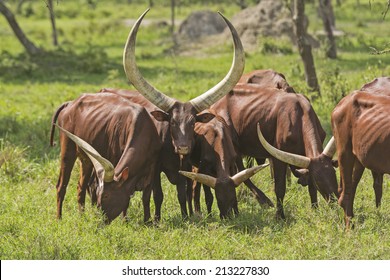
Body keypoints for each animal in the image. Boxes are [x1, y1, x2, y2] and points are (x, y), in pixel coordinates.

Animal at [50, 93, 161, 224]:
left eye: (106, 196)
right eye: (98, 194)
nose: (99, 219)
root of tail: (70, 103)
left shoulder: (152, 168)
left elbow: (146, 197)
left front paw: (147, 221)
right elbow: (127, 200)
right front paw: (125, 221)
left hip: (86, 160)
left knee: (80, 187)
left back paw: (82, 217)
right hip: (67, 151)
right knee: (61, 186)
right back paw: (59, 218)